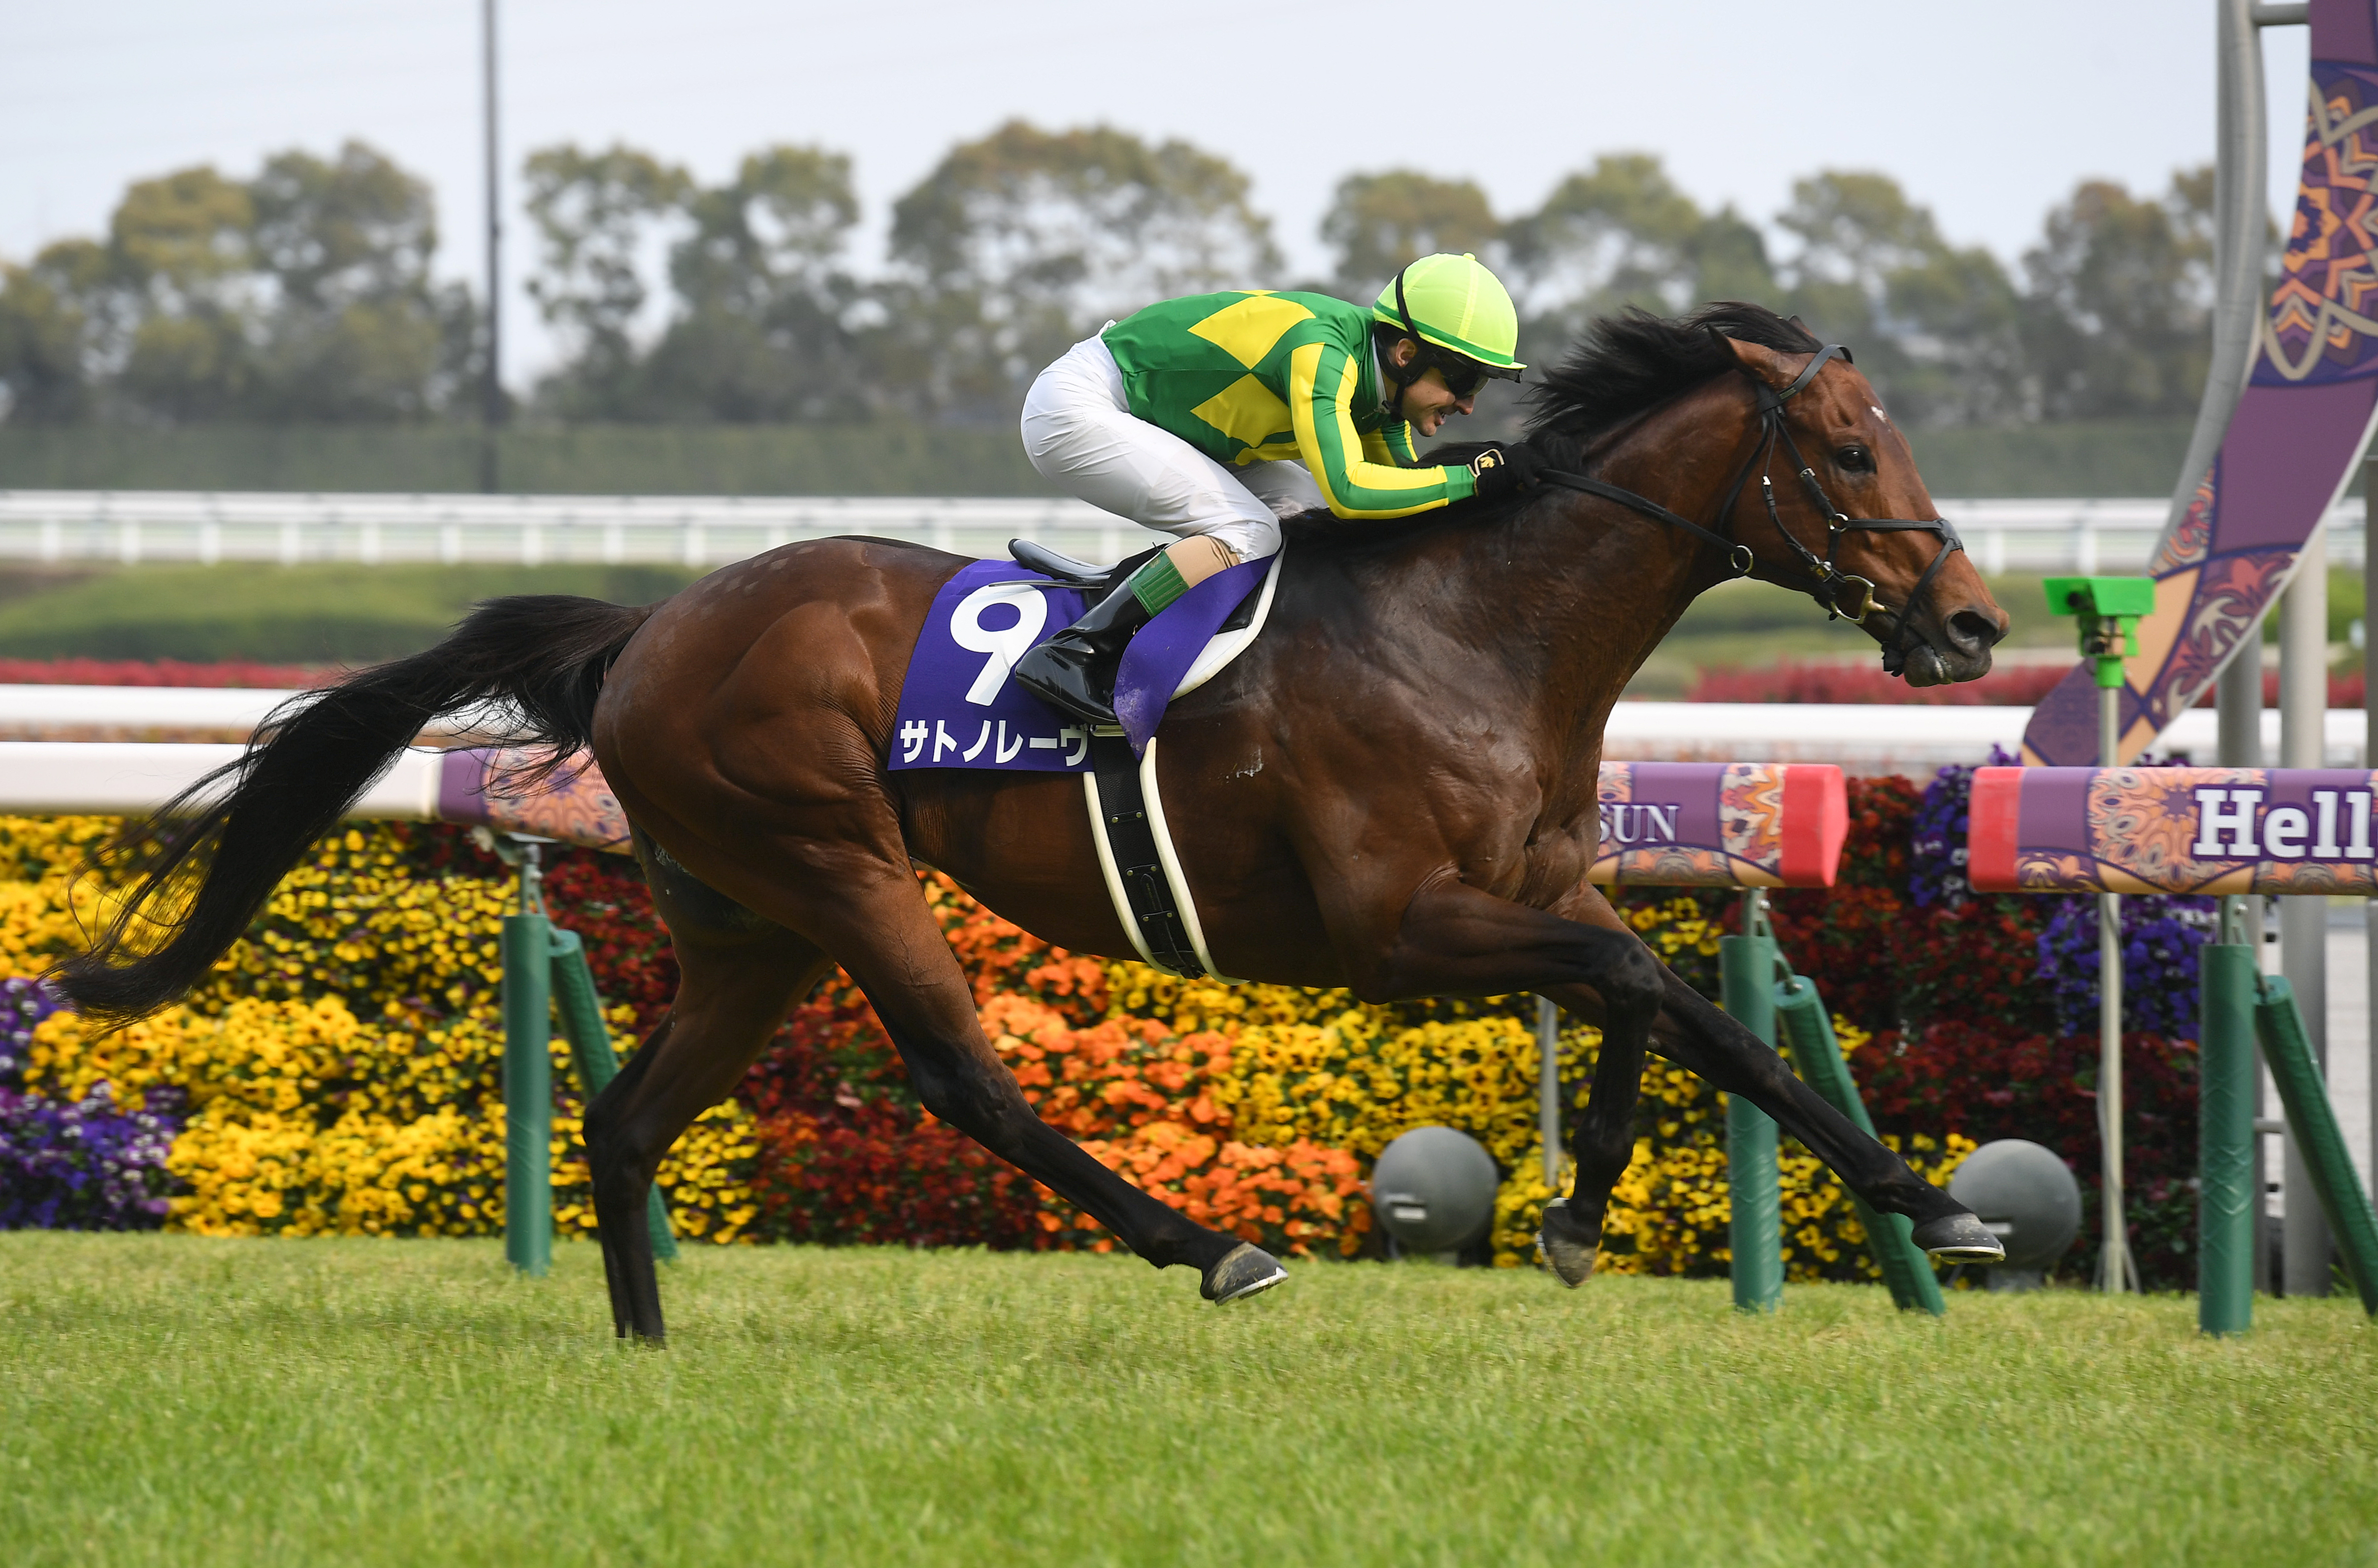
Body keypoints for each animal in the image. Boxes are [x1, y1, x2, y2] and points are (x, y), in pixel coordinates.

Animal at [57, 302, 2011, 1342]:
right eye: (1851, 452)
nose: (1974, 623)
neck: (1478, 626)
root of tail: (651, 623)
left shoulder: (1536, 889)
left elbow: (1652, 995)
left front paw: (1606, 1208)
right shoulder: (1397, 927)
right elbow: (1659, 992)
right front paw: (1918, 1198)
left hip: (749, 921)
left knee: (624, 1118)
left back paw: (645, 1341)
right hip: (835, 857)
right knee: (966, 1077)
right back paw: (1207, 1244)